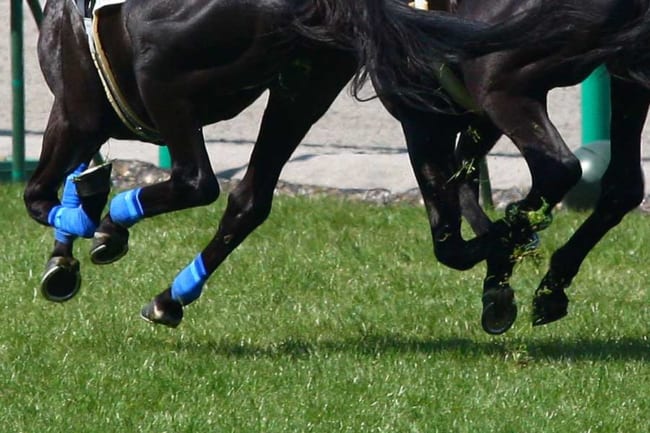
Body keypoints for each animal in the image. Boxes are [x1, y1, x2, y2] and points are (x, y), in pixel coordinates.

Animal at [25, 0, 613, 328]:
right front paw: (73, 248)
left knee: (199, 181)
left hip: (164, 75)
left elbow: (40, 195)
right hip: (304, 86)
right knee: (250, 199)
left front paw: (86, 235)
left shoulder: (75, 109)